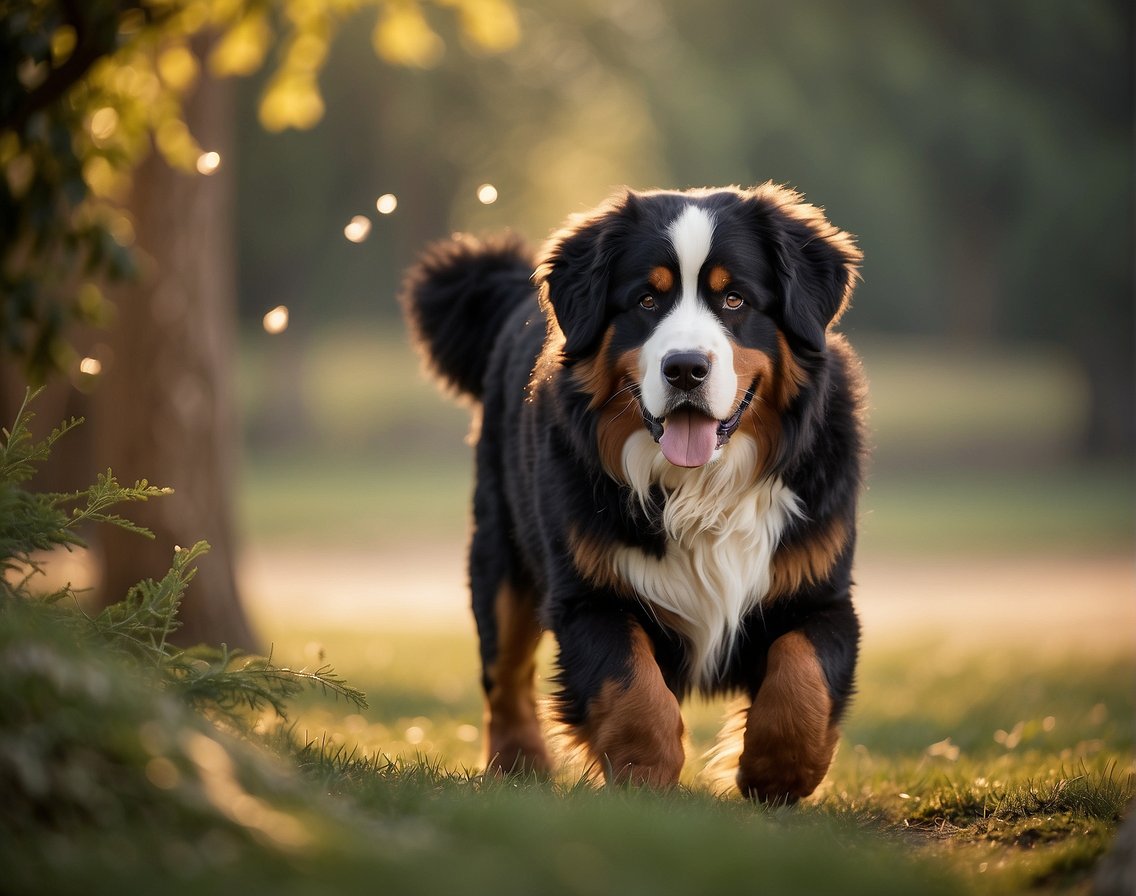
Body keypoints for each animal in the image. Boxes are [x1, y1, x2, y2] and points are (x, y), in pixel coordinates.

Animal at [404, 180, 863, 794]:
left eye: (735, 300)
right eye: (647, 300)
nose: (686, 368)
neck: (700, 488)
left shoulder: (821, 591)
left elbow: (802, 673)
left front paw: (777, 771)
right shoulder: (590, 593)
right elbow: (634, 691)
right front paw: (645, 781)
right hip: (502, 559)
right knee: (505, 678)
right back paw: (518, 771)